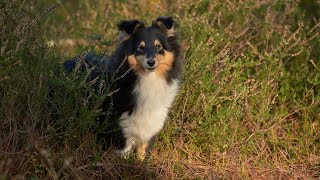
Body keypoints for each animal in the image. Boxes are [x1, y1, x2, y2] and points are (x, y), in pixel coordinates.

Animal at [65, 16, 182, 160]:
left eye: (158, 46)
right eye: (141, 47)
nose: (151, 62)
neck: (148, 79)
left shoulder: (150, 124)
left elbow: (142, 151)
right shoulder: (121, 125)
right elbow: (124, 150)